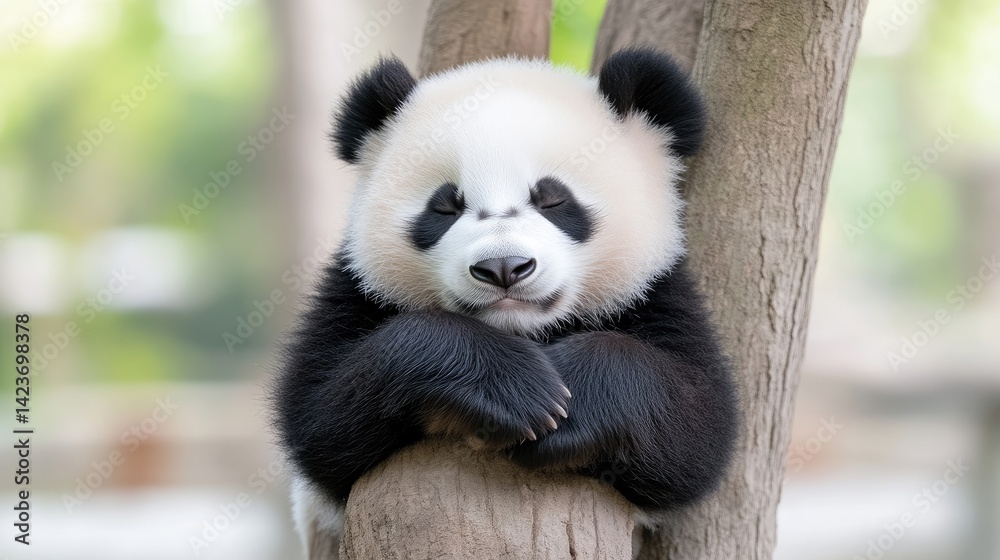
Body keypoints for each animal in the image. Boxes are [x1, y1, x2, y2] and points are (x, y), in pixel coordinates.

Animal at [274, 47, 738, 552]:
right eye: (445, 206)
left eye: (553, 200)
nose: (503, 268)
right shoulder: (357, 288)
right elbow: (318, 415)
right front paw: (521, 394)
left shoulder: (656, 290)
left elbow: (699, 428)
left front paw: (571, 405)